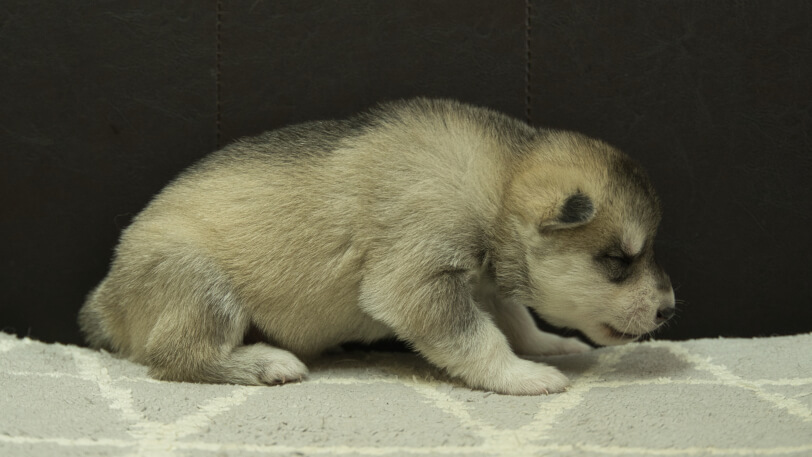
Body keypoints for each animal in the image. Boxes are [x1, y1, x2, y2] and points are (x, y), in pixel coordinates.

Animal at [79, 98, 676, 394]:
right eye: (618, 261)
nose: (670, 310)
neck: (496, 183)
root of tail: (105, 300)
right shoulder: (416, 282)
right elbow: (480, 339)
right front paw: (523, 376)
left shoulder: (484, 281)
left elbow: (514, 320)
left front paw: (547, 345)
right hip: (202, 284)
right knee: (175, 356)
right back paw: (266, 364)